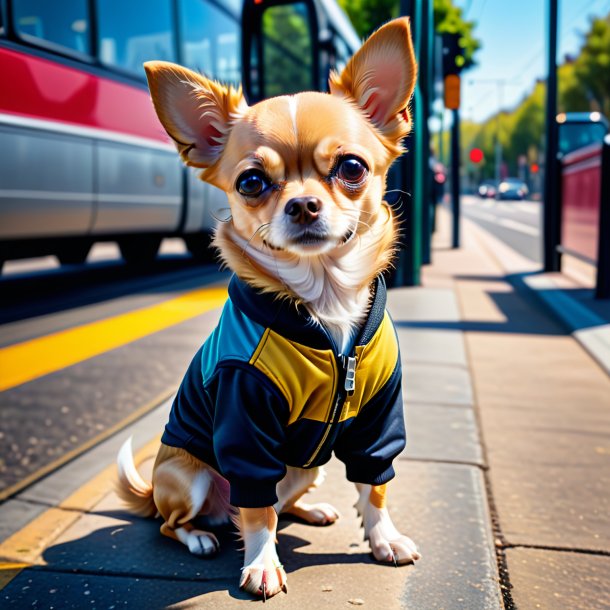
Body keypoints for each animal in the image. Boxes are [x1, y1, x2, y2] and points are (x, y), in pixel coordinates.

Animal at [116, 17, 418, 600]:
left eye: (352, 168)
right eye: (251, 182)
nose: (303, 204)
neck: (325, 301)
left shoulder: (378, 417)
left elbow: (374, 486)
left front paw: (384, 538)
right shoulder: (245, 421)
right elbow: (257, 512)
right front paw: (261, 565)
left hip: (307, 466)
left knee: (278, 502)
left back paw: (312, 511)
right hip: (188, 478)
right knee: (190, 520)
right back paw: (202, 537)